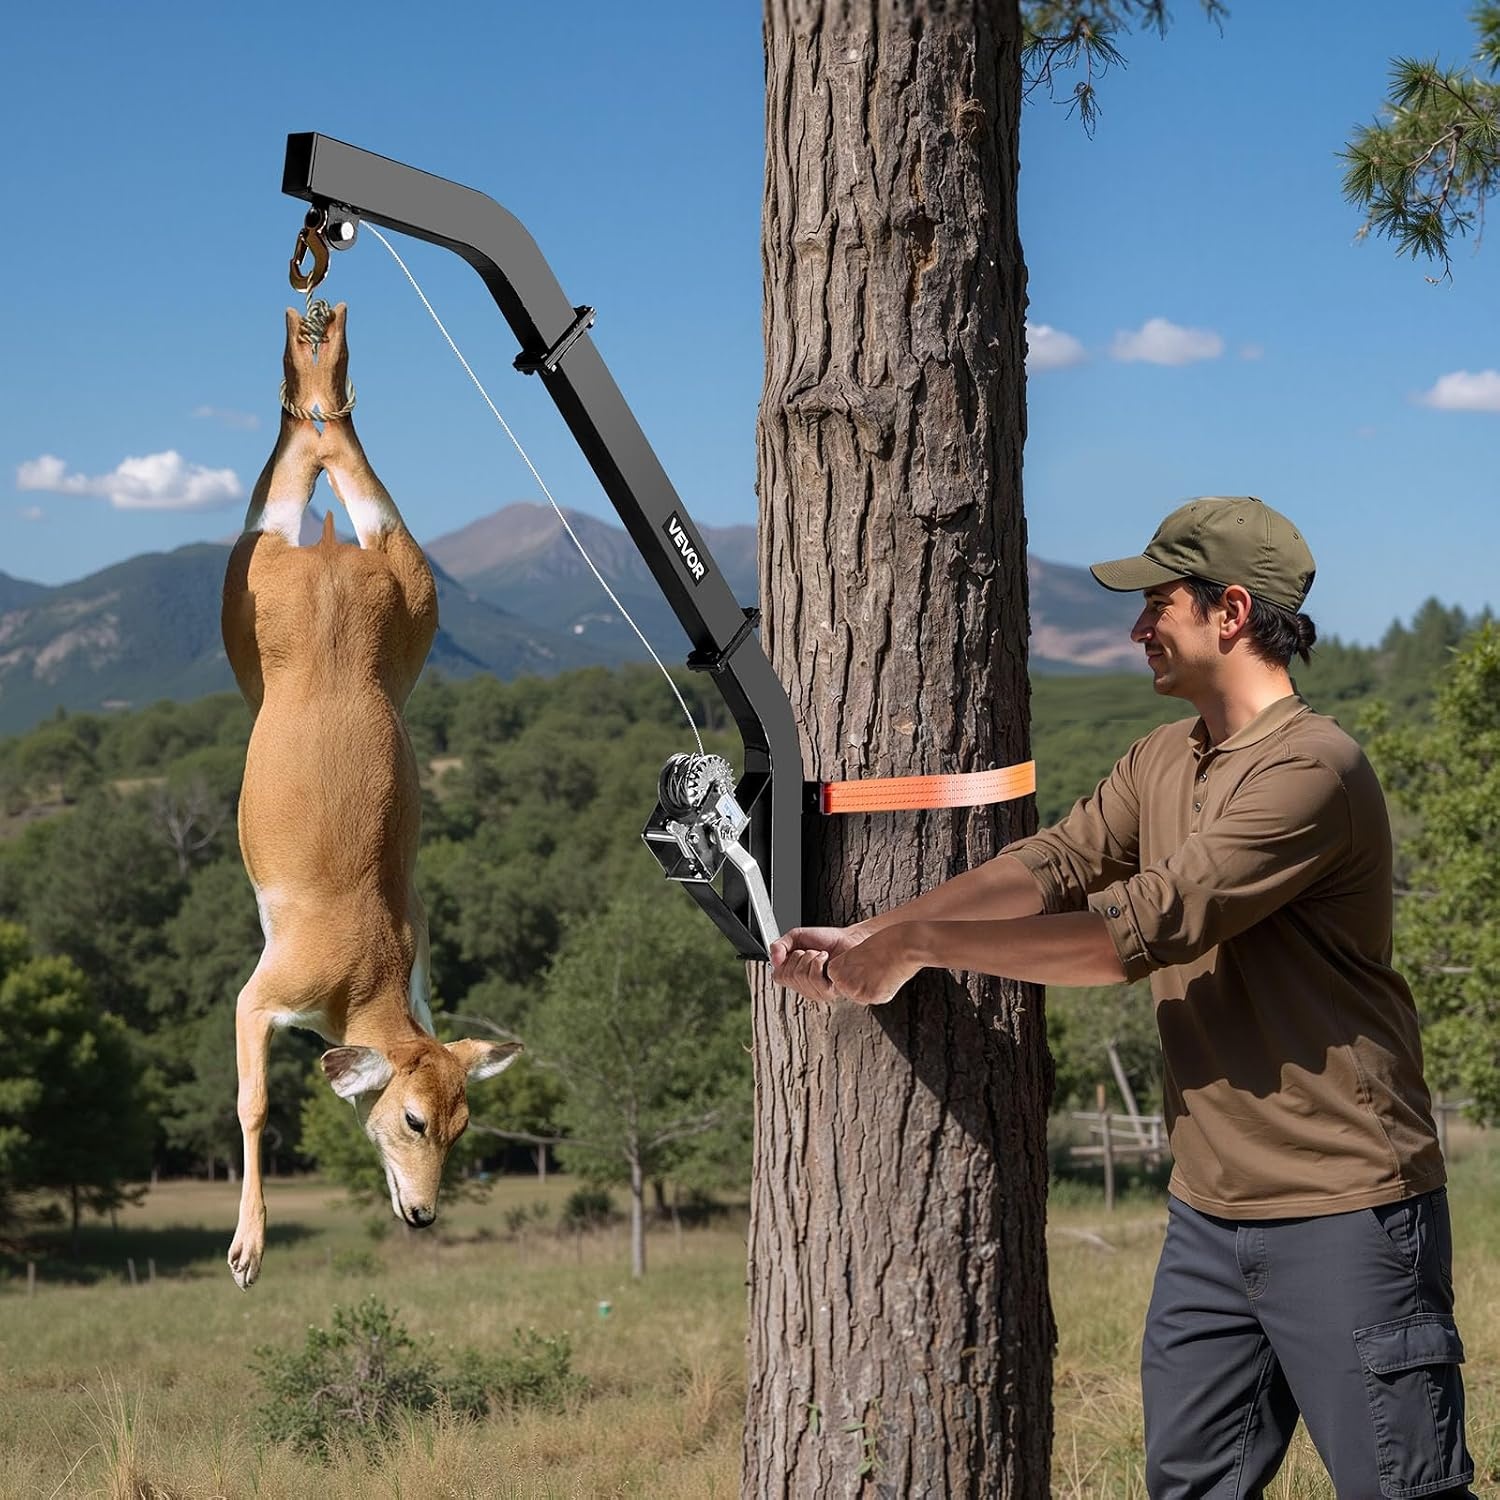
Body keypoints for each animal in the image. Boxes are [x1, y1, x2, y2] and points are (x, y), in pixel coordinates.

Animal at [220, 302, 520, 1289]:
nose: (423, 1212)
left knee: (336, 467)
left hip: (406, 593)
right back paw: (310, 356)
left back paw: (319, 358)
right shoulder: (263, 988)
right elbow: (252, 1103)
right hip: (250, 583)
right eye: (414, 1119)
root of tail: (327, 564)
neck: (363, 980)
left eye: (465, 1125)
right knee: (292, 486)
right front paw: (247, 1248)